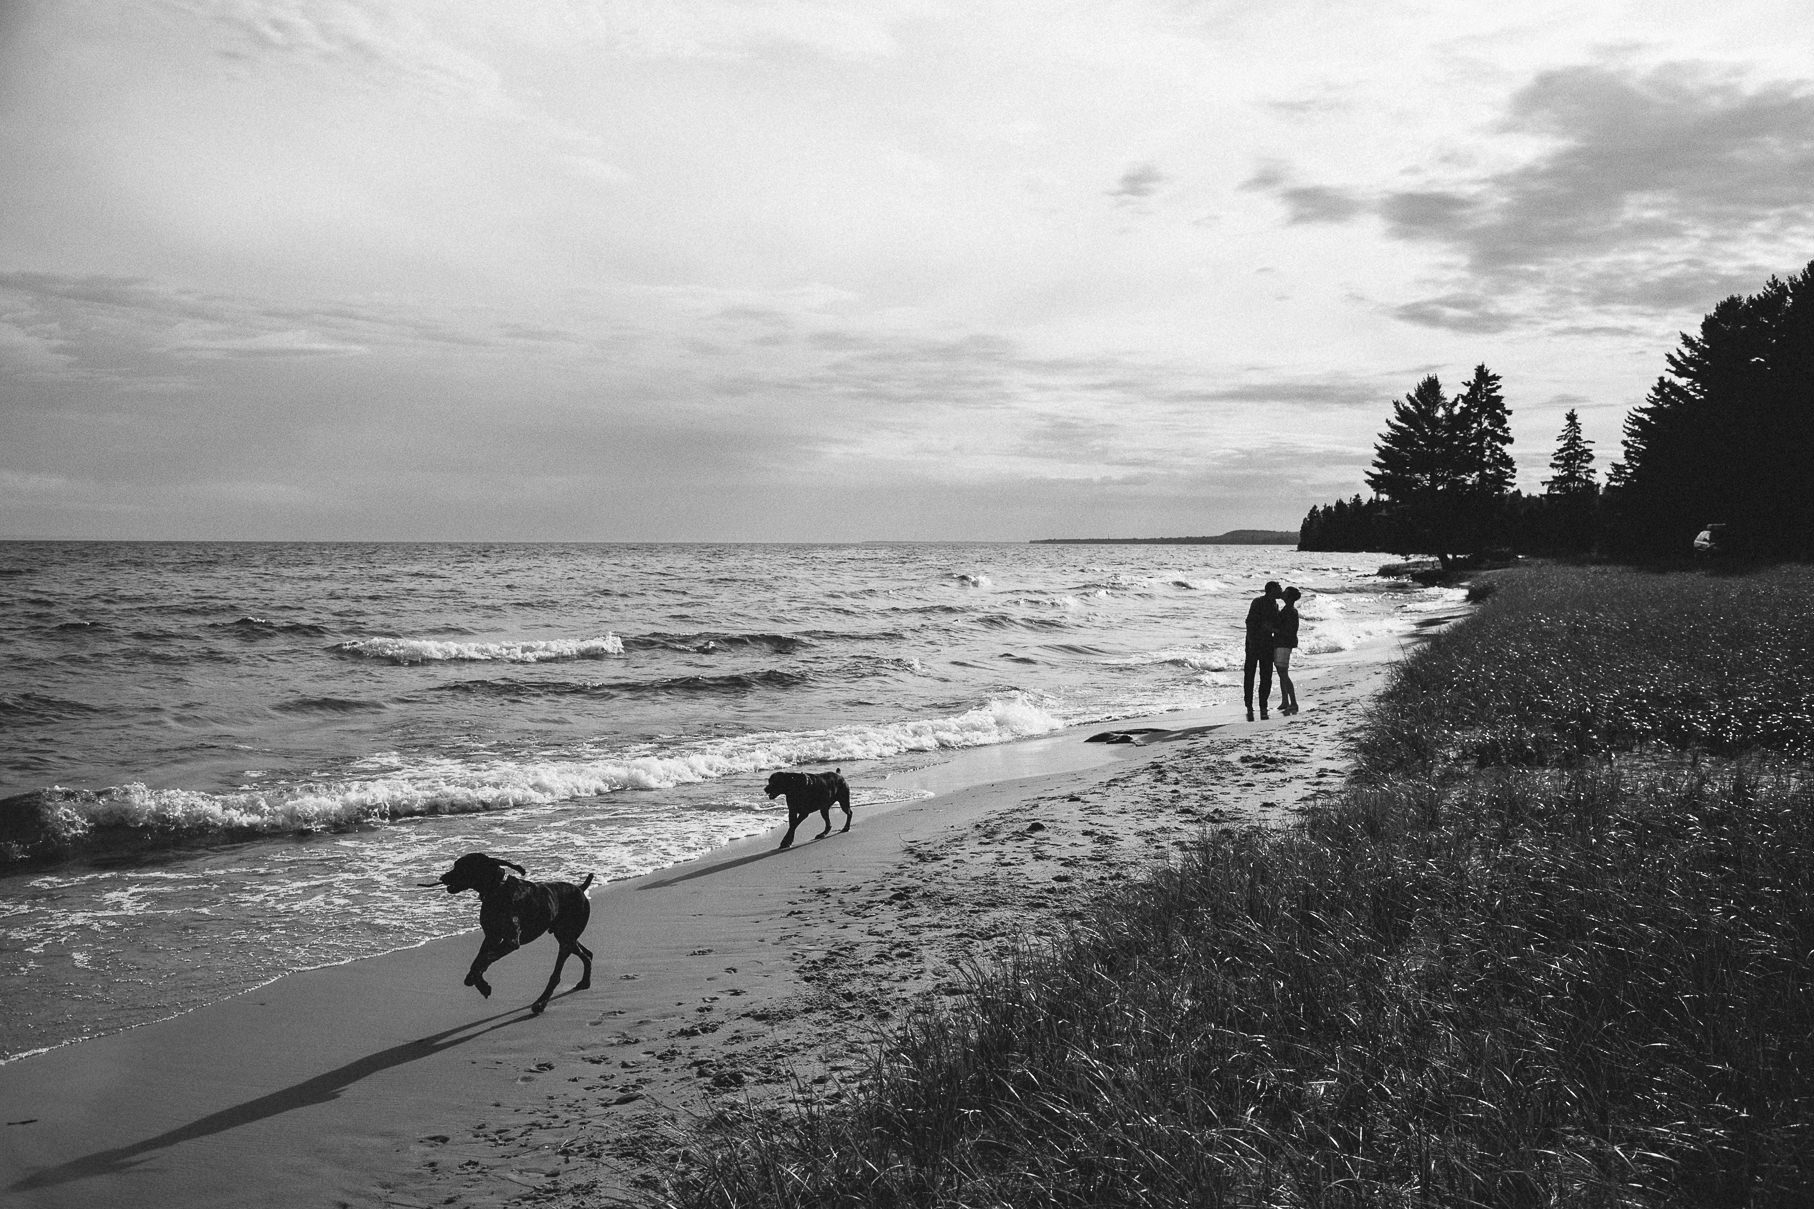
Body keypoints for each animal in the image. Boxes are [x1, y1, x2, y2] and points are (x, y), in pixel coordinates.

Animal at [429, 853, 594, 1009]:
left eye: (461, 866)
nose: (442, 877)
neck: (496, 890)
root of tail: (581, 889)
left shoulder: (511, 941)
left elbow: (484, 958)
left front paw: (481, 983)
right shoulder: (491, 937)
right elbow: (479, 959)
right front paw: (476, 980)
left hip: (566, 938)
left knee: (557, 974)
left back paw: (540, 1003)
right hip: (564, 935)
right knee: (586, 954)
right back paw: (585, 981)